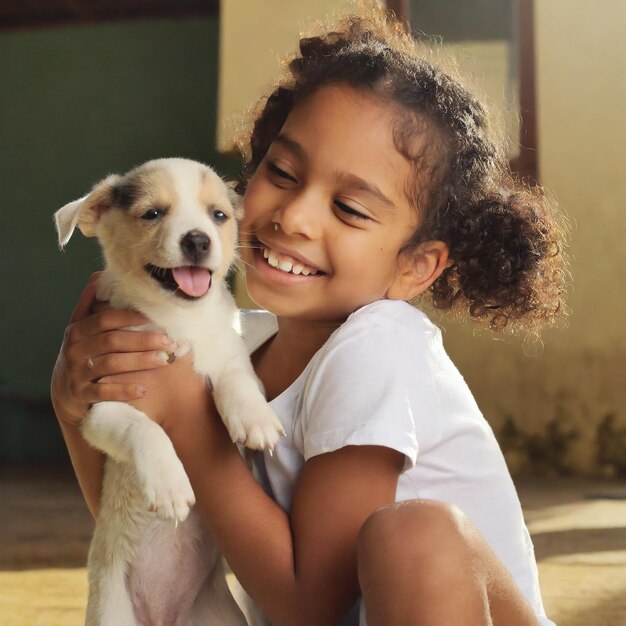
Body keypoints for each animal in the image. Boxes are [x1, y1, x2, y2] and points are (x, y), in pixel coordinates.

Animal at [54, 157, 280, 624]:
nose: (198, 239)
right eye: (153, 213)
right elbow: (147, 430)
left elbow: (234, 378)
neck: (179, 321)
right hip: (111, 612)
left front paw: (255, 420)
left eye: (218, 215)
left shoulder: (234, 353)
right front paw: (169, 483)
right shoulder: (103, 408)